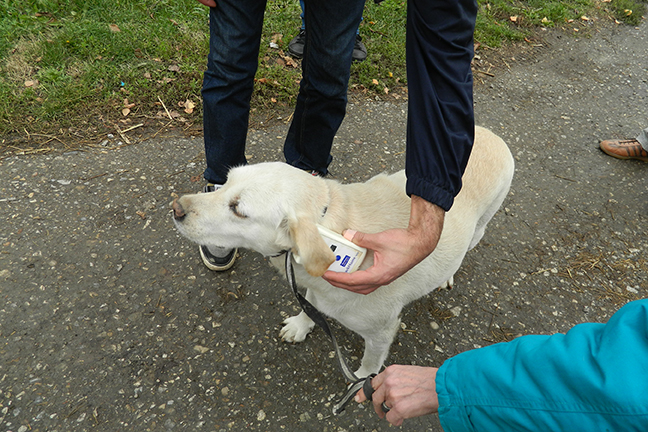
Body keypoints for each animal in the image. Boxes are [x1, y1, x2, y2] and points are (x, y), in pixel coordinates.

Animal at [173, 125, 516, 378]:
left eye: (238, 209)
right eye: (225, 182)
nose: (175, 208)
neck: (328, 221)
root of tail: (489, 132)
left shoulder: (382, 331)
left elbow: (371, 362)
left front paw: (364, 382)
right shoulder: (313, 286)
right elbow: (310, 305)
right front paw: (301, 326)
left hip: (479, 228)